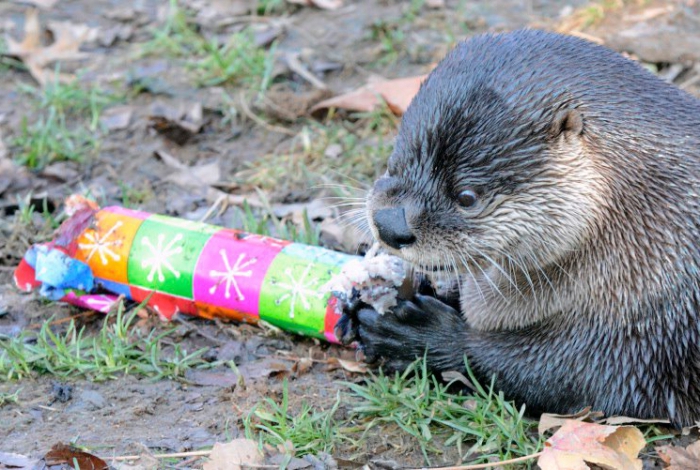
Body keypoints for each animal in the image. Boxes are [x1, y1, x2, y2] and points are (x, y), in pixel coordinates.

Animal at [334, 28, 700, 426]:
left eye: (466, 196)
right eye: (393, 162)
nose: (389, 224)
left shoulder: (656, 322)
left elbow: (566, 375)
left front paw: (412, 335)